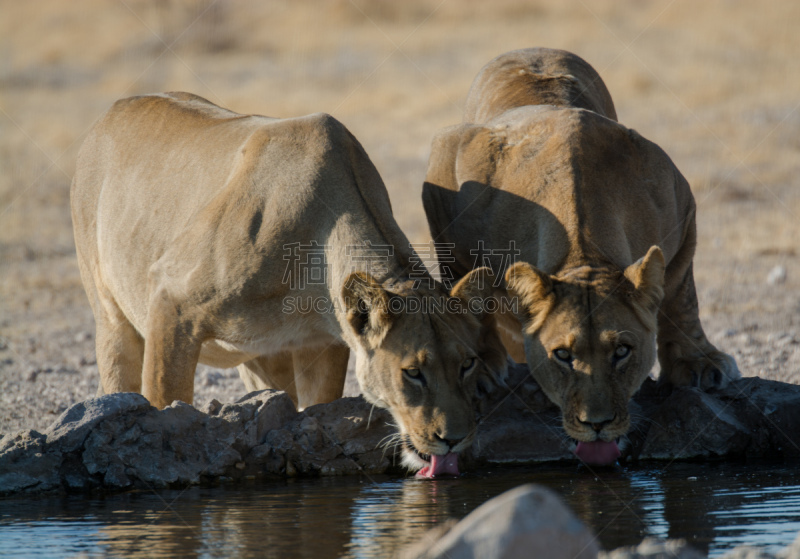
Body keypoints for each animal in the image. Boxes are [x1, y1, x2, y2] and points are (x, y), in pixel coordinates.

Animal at [70, 92, 506, 476]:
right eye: (412, 372)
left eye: (467, 364)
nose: (455, 440)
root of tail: (116, 107)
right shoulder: (172, 300)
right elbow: (164, 401)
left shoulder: (322, 343)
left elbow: (314, 409)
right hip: (112, 316)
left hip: (260, 355)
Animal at [422, 49, 740, 468]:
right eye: (562, 355)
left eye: (622, 351)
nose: (597, 424)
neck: (583, 248)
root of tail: (530, 49)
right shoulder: (446, 172)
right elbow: (469, 289)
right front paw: (481, 364)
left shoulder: (682, 207)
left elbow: (681, 297)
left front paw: (699, 362)